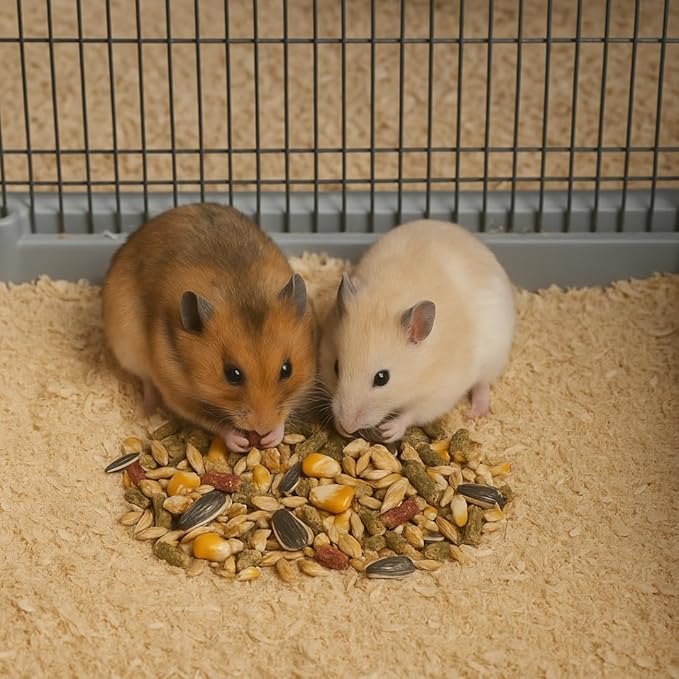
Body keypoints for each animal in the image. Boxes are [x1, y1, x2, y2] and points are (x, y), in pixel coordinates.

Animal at [102, 203, 317, 452]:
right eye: (232, 374)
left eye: (287, 370)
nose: (262, 428)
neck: (241, 291)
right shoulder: (177, 392)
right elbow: (213, 421)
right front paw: (240, 441)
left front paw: (273, 436)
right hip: (127, 347)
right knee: (146, 381)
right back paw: (147, 413)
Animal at [318, 219, 515, 443]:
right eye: (336, 367)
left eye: (382, 378)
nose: (348, 426)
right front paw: (340, 427)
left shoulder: (440, 392)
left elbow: (413, 413)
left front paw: (389, 431)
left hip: (494, 356)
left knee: (483, 385)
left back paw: (473, 414)